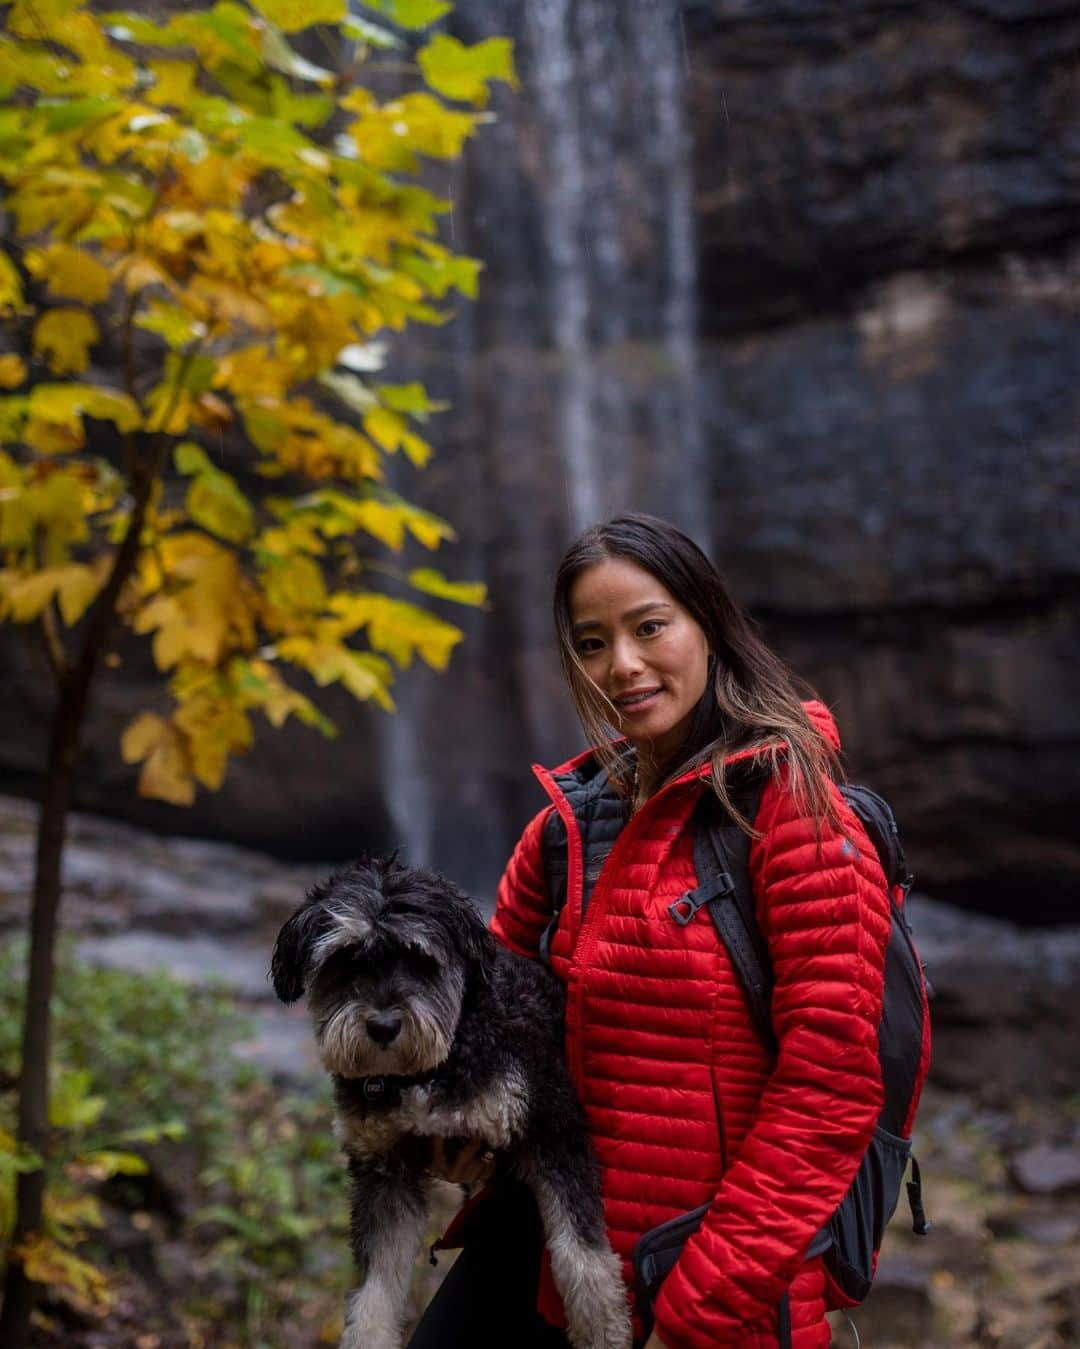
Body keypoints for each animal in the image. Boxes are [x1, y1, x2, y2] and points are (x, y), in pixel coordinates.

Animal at [268, 857, 631, 1343]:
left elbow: (583, 1254)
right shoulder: (385, 1169)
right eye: (345, 961)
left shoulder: (554, 1125)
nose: (383, 1027)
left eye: (419, 959)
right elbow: (375, 1290)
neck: (430, 1070)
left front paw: (605, 1331)